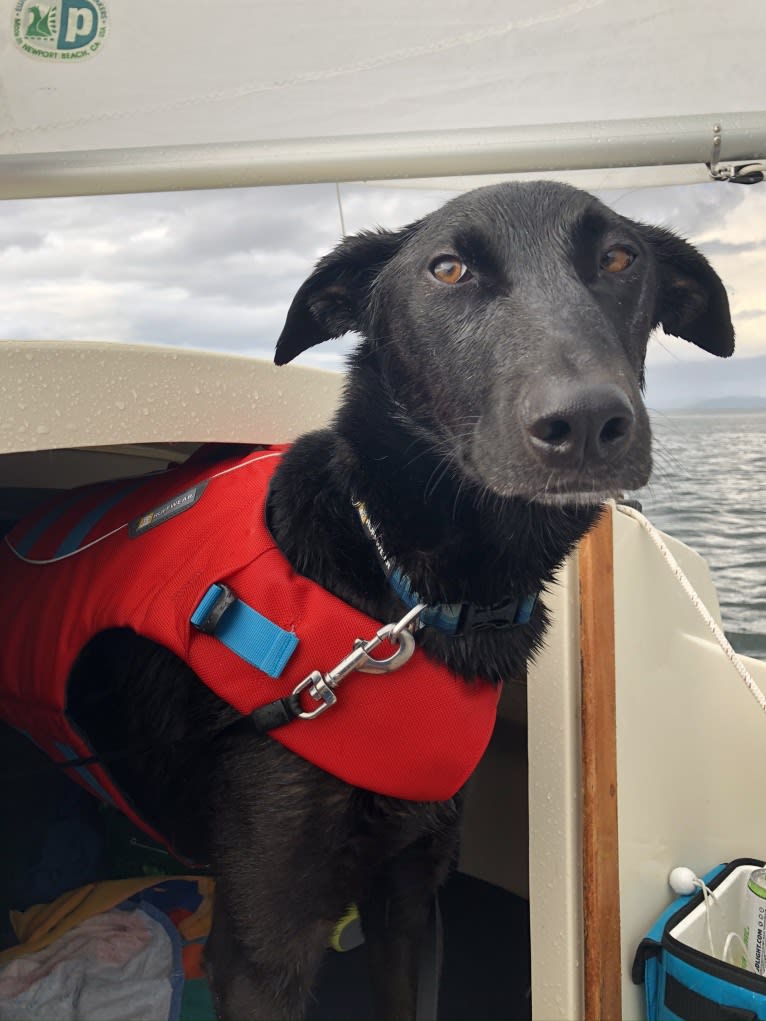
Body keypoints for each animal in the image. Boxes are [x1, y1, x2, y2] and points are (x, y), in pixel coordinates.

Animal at [49, 179, 739, 1016]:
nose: (585, 422)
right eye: (447, 269)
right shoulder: (263, 948)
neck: (405, 591)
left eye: (619, 258)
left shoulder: (410, 893)